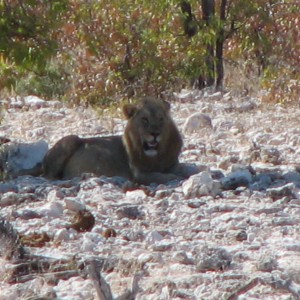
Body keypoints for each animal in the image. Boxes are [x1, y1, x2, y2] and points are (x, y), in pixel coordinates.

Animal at [18, 97, 189, 184]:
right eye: (145, 120)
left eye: (161, 119)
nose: (155, 134)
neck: (155, 156)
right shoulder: (138, 174)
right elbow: (161, 176)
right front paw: (175, 178)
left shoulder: (173, 163)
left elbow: (182, 168)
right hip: (71, 139)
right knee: (47, 176)